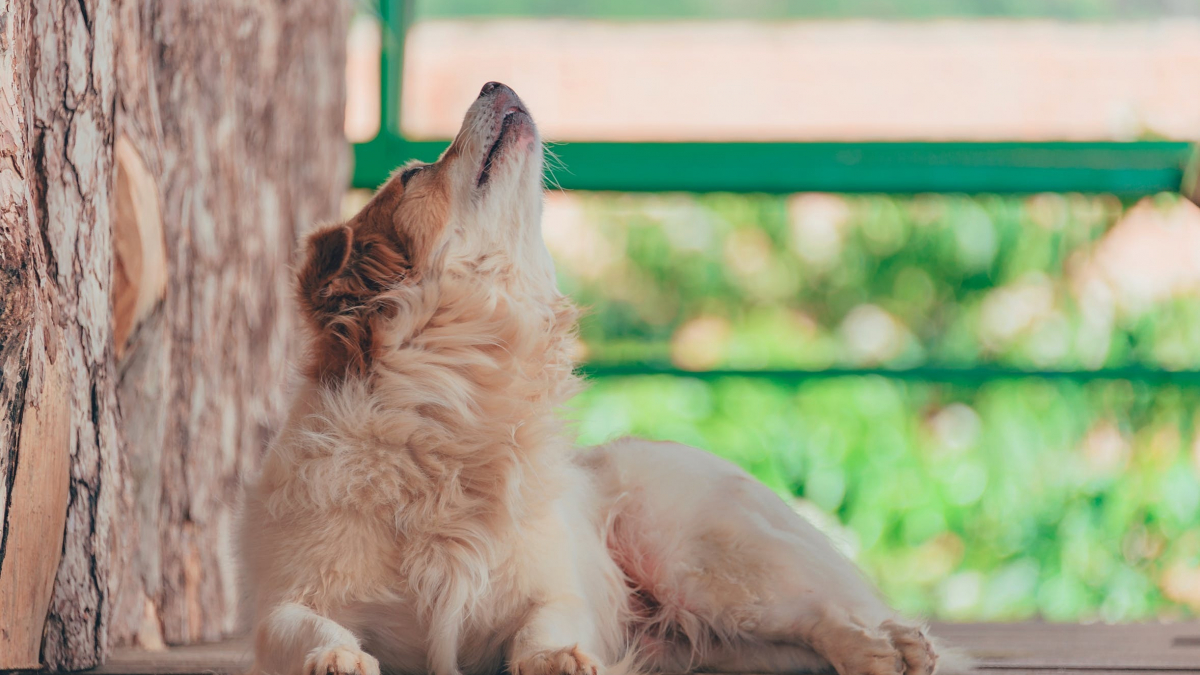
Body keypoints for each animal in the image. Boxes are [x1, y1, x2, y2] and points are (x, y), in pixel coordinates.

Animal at [238, 81, 950, 672]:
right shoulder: (285, 601)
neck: (452, 403)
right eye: (414, 174)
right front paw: (335, 657)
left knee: (813, 613)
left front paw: (555, 659)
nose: (494, 81)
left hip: (702, 566)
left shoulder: (553, 591)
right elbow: (303, 626)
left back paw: (884, 649)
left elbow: (546, 624)